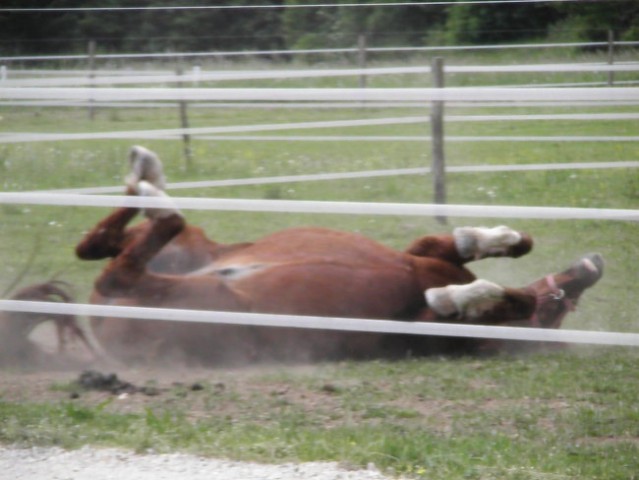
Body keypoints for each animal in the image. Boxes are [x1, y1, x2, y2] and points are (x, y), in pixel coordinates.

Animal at [76, 146, 604, 364]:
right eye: (560, 306)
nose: (593, 266)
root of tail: (101, 325)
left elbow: (487, 294)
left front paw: (453, 298)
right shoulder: (417, 256)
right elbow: (466, 247)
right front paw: (501, 241)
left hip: (207, 296)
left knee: (118, 266)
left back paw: (153, 187)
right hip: (195, 252)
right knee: (99, 246)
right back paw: (147, 175)